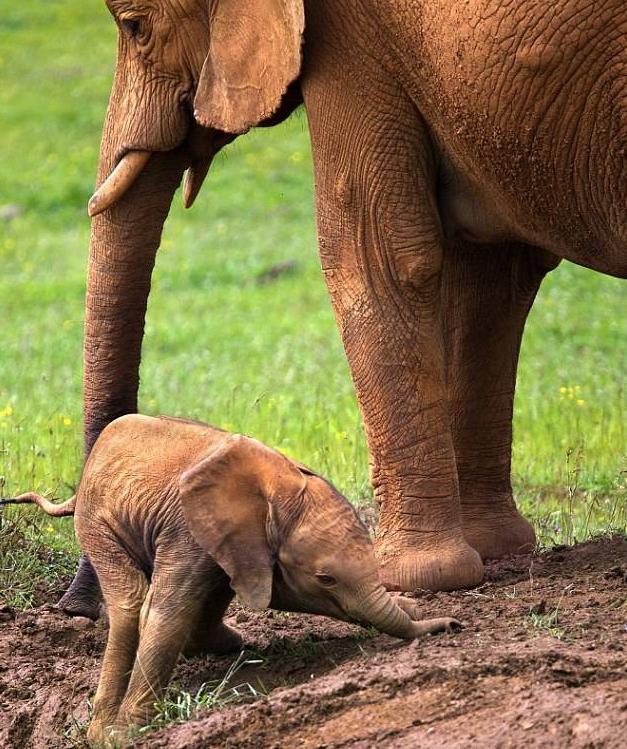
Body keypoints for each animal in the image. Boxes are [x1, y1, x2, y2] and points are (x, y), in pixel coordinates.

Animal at [4, 414, 462, 744]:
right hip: (97, 524)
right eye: (326, 579)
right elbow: (167, 611)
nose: (454, 625)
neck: (276, 489)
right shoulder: (187, 528)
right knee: (132, 600)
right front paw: (129, 735)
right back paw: (105, 732)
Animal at [57, 0, 624, 620]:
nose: (78, 606)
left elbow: (368, 253)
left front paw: (410, 576)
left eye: (134, 27)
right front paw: (494, 550)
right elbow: (491, 273)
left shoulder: (351, 37)